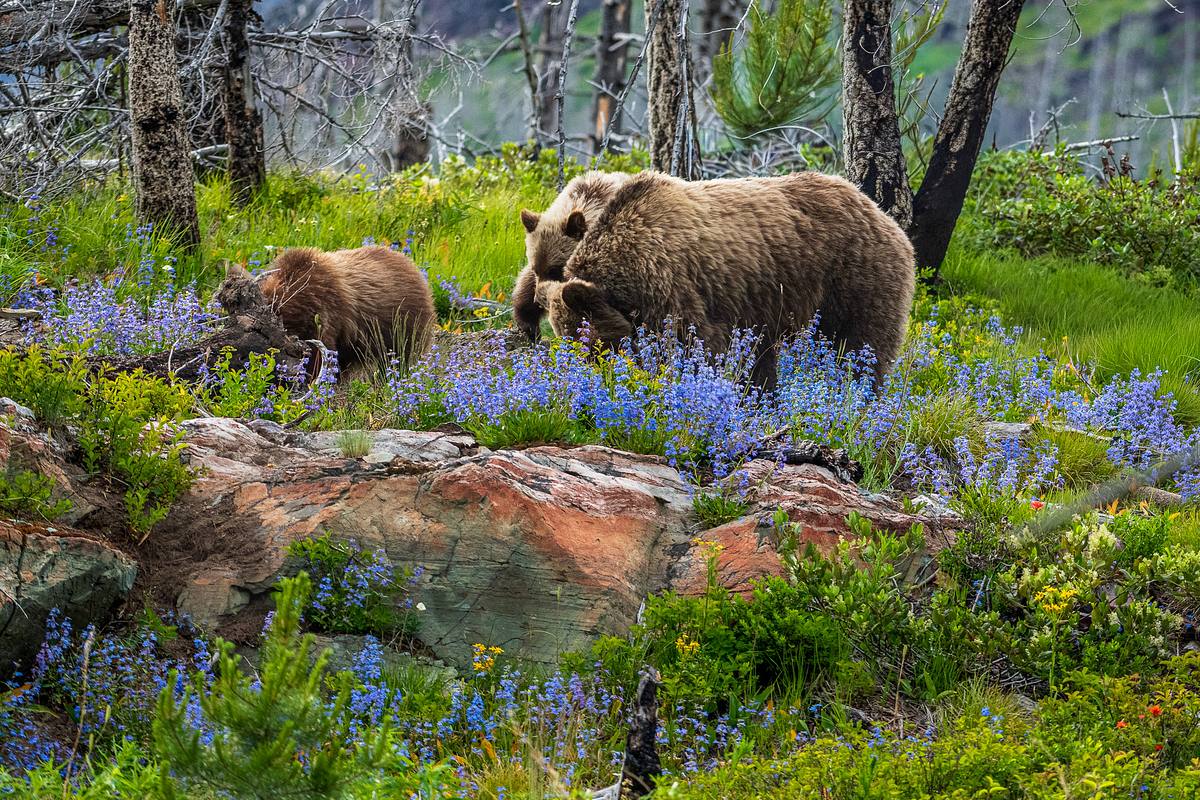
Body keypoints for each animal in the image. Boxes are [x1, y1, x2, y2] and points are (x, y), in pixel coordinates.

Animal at [538, 170, 916, 390]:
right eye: (570, 341)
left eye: (592, 345)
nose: (594, 381)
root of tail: (880, 212)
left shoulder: (676, 290)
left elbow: (697, 347)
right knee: (767, 357)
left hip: (852, 274)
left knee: (859, 343)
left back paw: (859, 392)